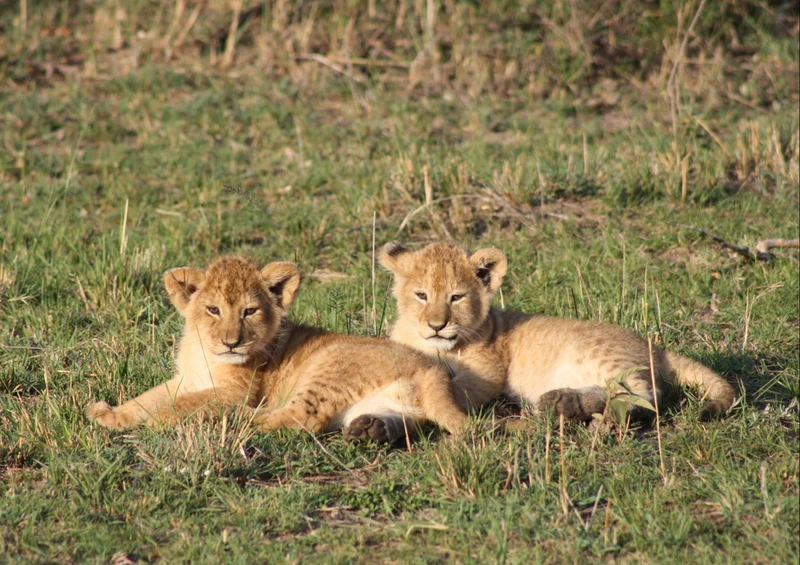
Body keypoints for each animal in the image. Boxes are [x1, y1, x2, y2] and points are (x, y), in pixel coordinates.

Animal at [86, 255, 466, 443]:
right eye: (213, 310)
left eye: (249, 311)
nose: (232, 342)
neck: (203, 351)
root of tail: (431, 368)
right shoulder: (185, 380)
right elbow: (147, 398)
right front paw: (109, 414)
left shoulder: (236, 391)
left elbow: (179, 404)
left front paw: (157, 419)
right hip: (387, 403)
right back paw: (371, 429)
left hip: (329, 365)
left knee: (299, 417)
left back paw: (225, 423)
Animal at [377, 241, 736, 425]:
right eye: (421, 295)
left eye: (456, 297)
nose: (436, 325)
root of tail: (652, 346)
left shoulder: (489, 372)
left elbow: (454, 389)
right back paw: (564, 403)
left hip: (602, 356)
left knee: (647, 396)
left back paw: (602, 421)